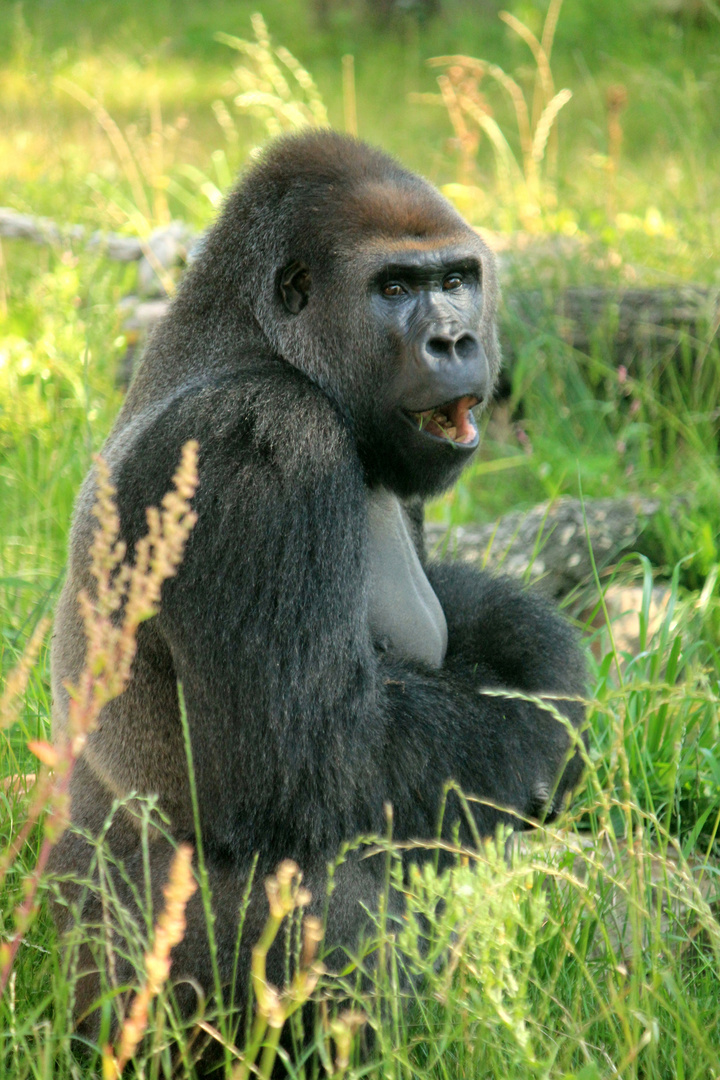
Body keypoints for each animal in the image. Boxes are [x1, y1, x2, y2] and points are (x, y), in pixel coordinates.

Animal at [49, 130, 587, 1058]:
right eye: (394, 289)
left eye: (457, 280)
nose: (453, 340)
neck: (257, 339)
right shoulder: (259, 444)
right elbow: (317, 758)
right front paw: (550, 712)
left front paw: (530, 640)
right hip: (125, 995)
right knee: (330, 894)